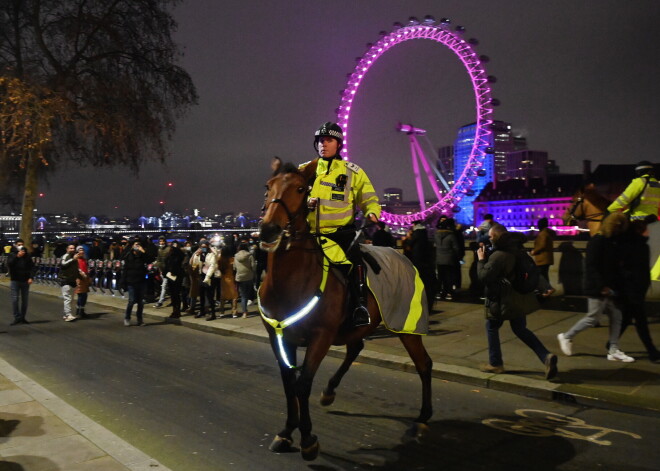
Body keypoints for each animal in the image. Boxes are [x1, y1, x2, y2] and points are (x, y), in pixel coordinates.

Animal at [258, 160, 434, 462]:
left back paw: (422, 420)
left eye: (301, 188)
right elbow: (288, 383)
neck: (292, 281)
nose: (269, 229)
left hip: (406, 326)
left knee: (424, 364)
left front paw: (308, 440)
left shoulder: (321, 337)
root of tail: (401, 255)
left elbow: (303, 384)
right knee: (356, 347)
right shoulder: (279, 338)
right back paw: (329, 391)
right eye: (269, 186)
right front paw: (286, 431)